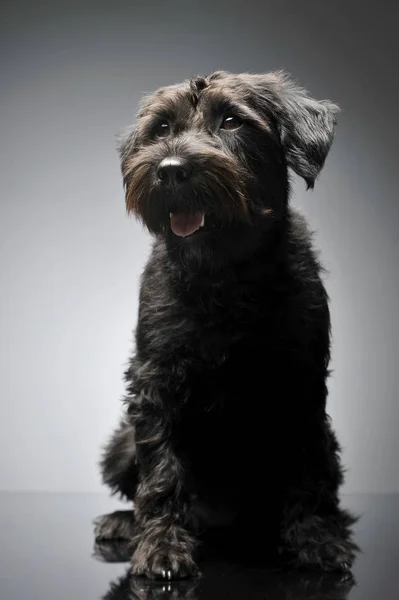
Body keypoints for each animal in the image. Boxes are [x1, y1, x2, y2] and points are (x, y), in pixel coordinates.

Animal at [94, 70, 360, 580]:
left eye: (232, 121)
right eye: (161, 128)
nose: (171, 169)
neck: (224, 276)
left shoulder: (301, 382)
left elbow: (307, 469)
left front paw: (316, 542)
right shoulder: (155, 381)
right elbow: (161, 472)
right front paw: (161, 547)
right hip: (119, 444)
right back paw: (123, 523)